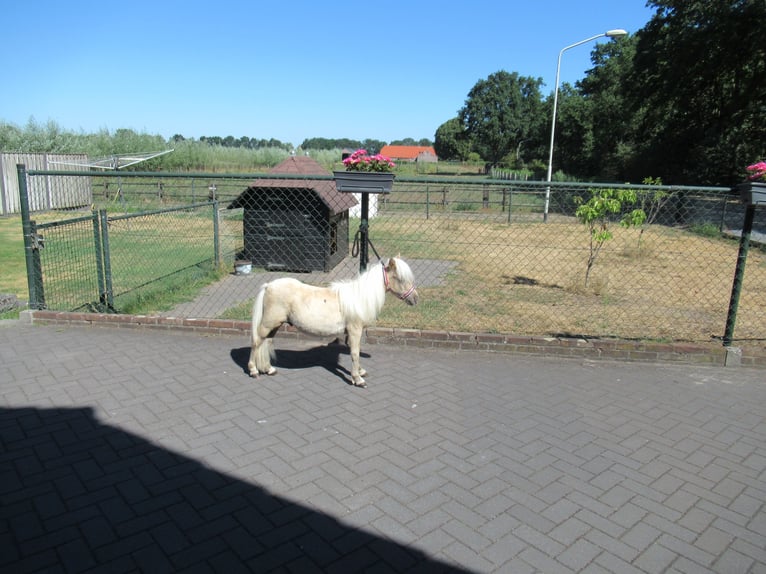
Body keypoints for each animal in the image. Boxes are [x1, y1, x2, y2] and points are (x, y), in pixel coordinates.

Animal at [248, 256, 418, 387]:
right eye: (400, 279)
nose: (415, 299)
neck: (359, 298)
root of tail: (268, 285)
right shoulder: (355, 330)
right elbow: (355, 353)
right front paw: (358, 379)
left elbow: (354, 351)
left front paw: (360, 372)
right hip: (268, 324)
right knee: (256, 342)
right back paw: (254, 370)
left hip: (275, 325)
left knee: (266, 341)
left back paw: (269, 369)